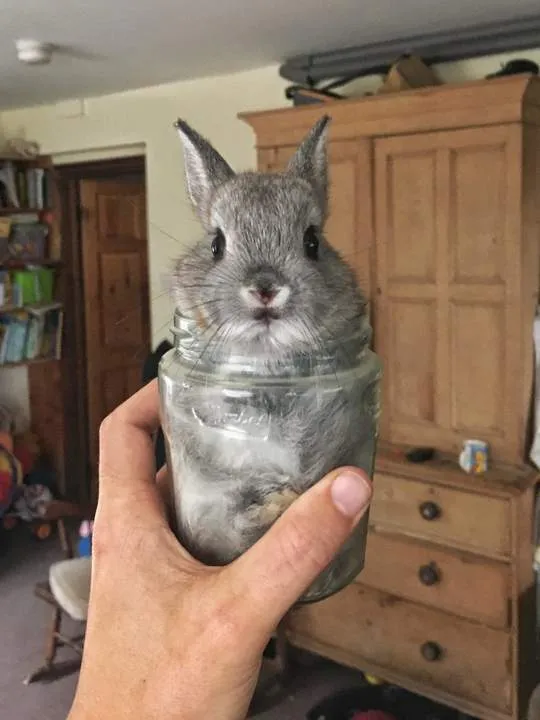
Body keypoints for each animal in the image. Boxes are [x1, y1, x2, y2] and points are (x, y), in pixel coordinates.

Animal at [161, 114, 378, 589]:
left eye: (313, 242)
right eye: (216, 244)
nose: (265, 288)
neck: (263, 372)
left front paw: (278, 504)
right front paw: (271, 508)